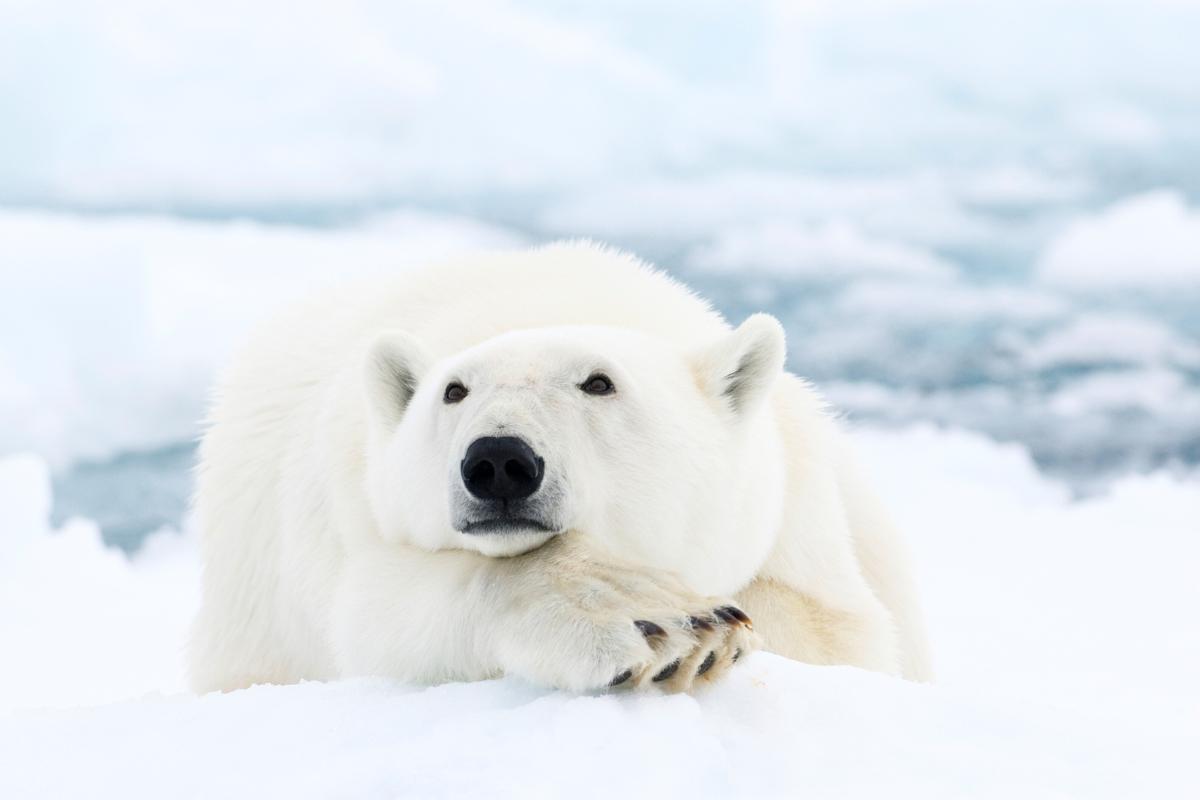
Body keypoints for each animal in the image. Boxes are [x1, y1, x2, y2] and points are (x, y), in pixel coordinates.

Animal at [188, 242, 932, 694]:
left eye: (599, 382)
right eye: (453, 390)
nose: (498, 461)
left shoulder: (794, 511)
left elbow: (838, 632)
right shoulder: (352, 512)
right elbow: (382, 613)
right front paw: (662, 623)